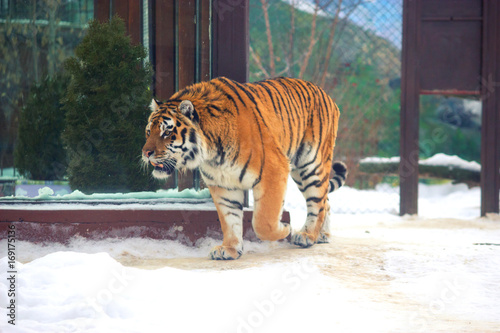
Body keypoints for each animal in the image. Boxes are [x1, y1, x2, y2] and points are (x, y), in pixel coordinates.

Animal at [142, 76, 348, 260]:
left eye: (167, 132)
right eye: (148, 131)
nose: (145, 152)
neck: (212, 154)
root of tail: (326, 94)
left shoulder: (274, 170)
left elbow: (263, 221)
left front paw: (285, 228)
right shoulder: (223, 185)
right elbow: (230, 220)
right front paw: (230, 249)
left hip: (311, 165)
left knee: (317, 202)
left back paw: (307, 235)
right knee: (325, 200)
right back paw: (322, 235)